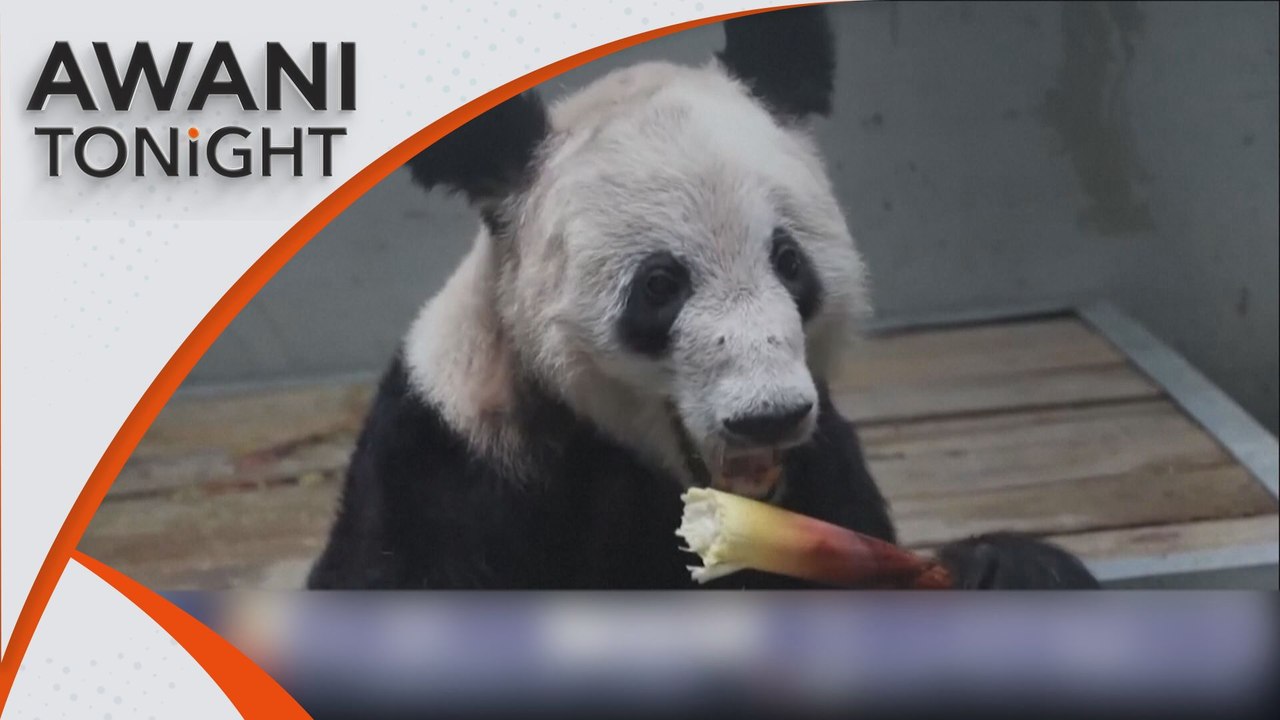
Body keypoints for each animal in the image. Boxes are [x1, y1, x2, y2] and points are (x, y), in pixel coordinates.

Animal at [307, 7, 1098, 590]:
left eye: (789, 261)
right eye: (660, 287)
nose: (766, 417)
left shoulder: (819, 473)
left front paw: (1004, 568)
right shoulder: (452, 465)